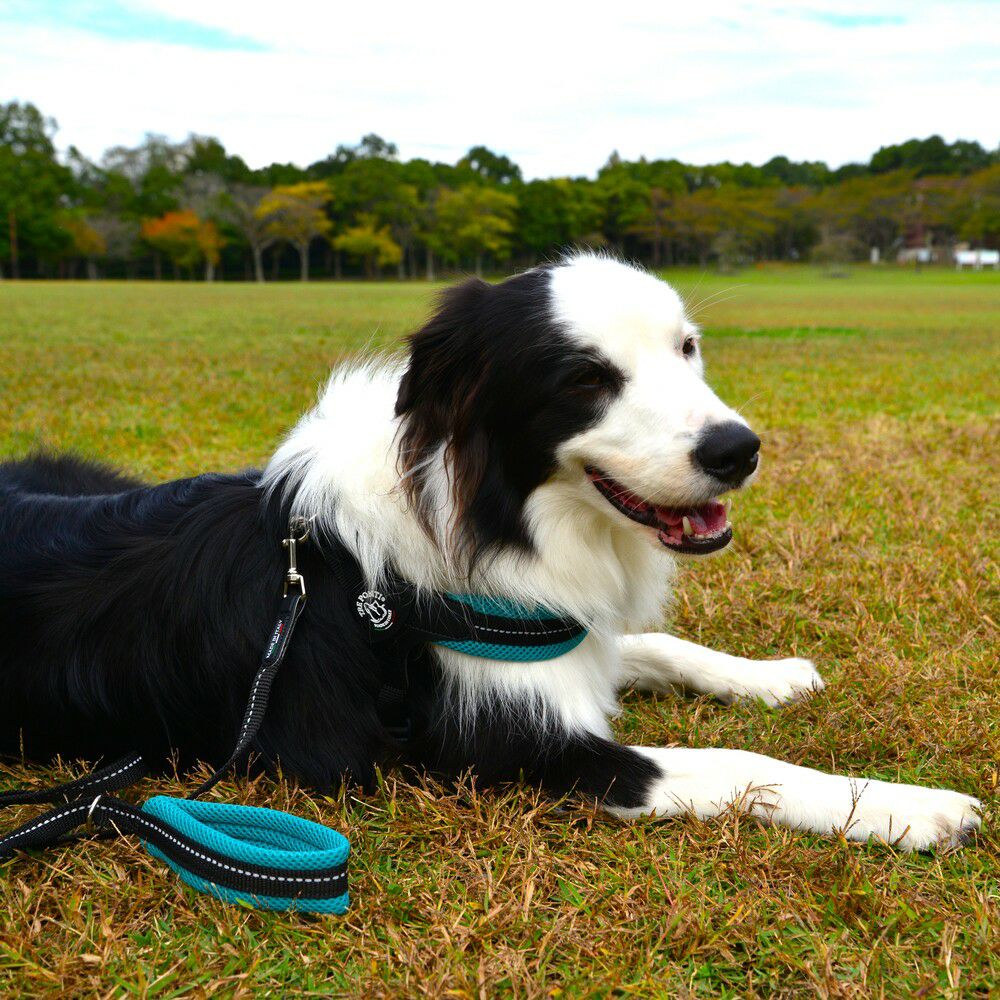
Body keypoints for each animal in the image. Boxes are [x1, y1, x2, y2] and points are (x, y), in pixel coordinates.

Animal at [0, 253, 980, 851]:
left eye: (687, 349)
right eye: (585, 378)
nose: (738, 450)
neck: (503, 514)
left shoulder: (563, 635)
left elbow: (650, 643)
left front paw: (769, 675)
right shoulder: (520, 751)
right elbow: (742, 765)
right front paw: (909, 806)